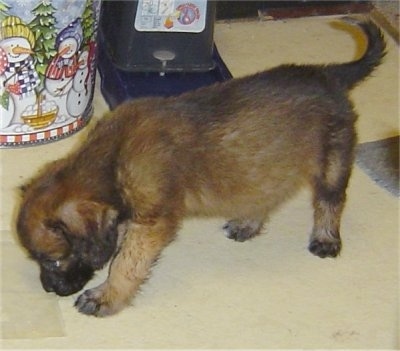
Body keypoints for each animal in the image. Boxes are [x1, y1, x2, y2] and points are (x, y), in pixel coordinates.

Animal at [17, 17, 386, 318]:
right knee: (268, 193)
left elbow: (126, 263)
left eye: (52, 259)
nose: (49, 289)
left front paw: (106, 297)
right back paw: (247, 223)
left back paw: (325, 238)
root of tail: (328, 73)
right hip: (265, 165)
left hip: (333, 157)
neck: (112, 159)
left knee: (330, 200)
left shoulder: (151, 222)